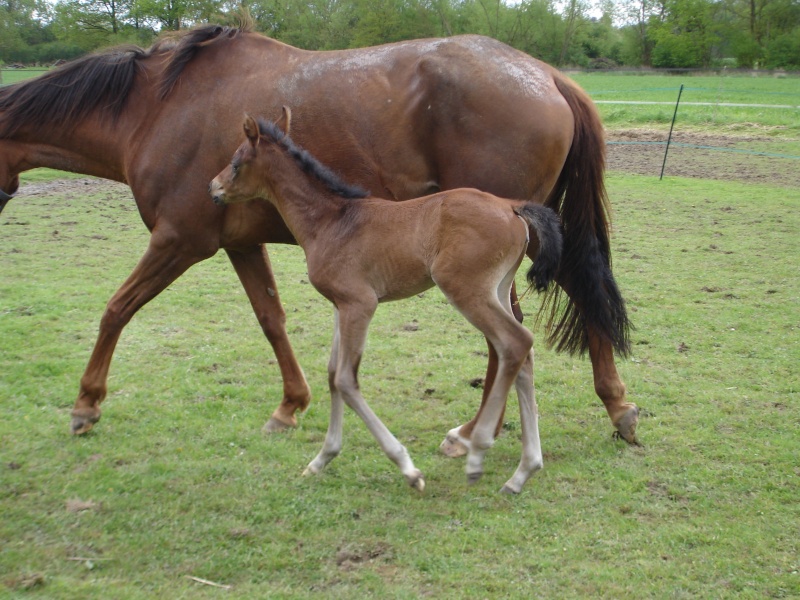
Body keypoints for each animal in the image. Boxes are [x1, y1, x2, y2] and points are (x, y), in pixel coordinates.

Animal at [0, 23, 636, 446]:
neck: (155, 108)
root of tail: (546, 74)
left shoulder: (179, 241)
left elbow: (116, 308)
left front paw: (86, 403)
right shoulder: (240, 243)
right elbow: (271, 319)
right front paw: (291, 405)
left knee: (510, 334)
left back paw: (486, 427)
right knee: (568, 301)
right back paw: (613, 407)